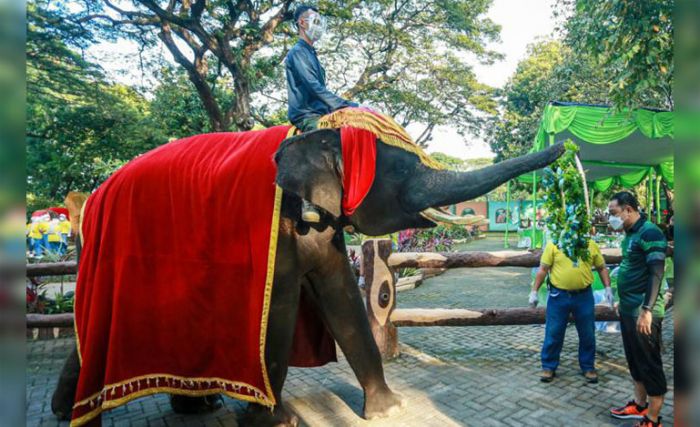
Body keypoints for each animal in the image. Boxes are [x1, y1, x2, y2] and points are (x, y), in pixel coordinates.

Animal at [50, 129, 564, 426]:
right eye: (402, 167)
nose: (565, 147)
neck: (319, 133)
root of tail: (92, 197)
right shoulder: (275, 233)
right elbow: (278, 310)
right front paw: (276, 422)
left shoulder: (323, 229)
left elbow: (344, 298)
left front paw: (389, 409)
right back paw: (74, 412)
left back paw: (196, 407)